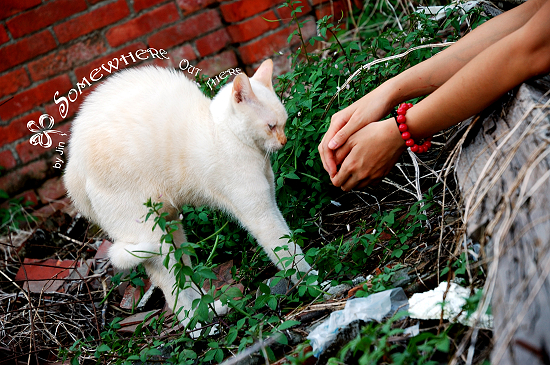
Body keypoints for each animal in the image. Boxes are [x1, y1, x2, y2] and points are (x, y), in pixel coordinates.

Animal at [63, 59, 316, 328]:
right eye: (271, 126)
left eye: (285, 123)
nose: (284, 141)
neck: (223, 133)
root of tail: (73, 168)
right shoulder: (259, 212)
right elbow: (286, 251)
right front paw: (314, 282)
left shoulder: (270, 203)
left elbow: (289, 239)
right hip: (153, 238)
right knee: (170, 287)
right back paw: (195, 326)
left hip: (173, 229)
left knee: (185, 277)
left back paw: (210, 311)